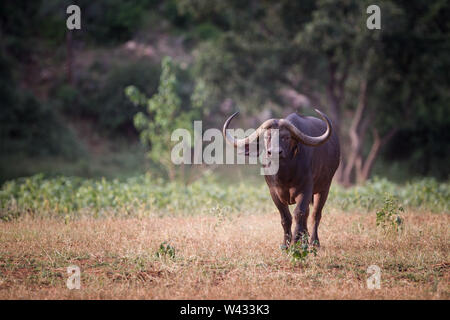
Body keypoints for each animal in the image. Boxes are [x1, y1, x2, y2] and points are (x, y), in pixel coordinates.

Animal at [223, 110, 340, 248]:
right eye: (267, 136)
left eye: (286, 137)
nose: (273, 152)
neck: (284, 175)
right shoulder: (274, 193)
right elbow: (285, 218)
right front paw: (286, 244)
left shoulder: (305, 190)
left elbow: (298, 214)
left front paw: (296, 241)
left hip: (325, 187)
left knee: (315, 214)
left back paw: (314, 242)